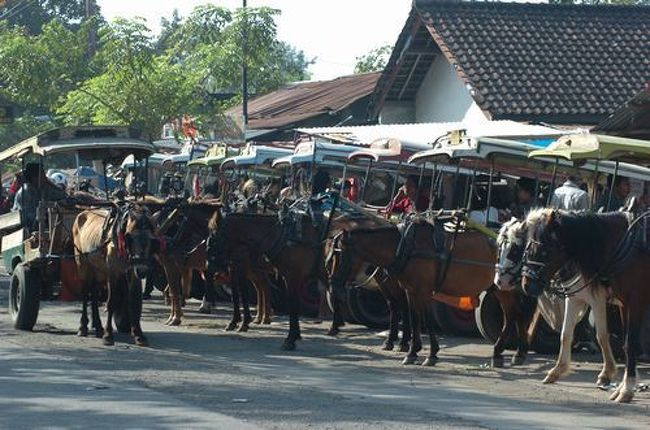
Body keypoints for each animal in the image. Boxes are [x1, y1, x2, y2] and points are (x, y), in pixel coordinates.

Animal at [72, 204, 158, 346]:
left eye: (152, 240)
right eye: (129, 237)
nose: (142, 270)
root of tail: (84, 212)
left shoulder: (132, 273)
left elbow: (134, 302)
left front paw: (139, 335)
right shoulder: (112, 272)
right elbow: (111, 301)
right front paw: (108, 335)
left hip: (98, 269)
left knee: (94, 293)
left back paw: (98, 327)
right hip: (82, 263)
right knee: (85, 293)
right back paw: (83, 327)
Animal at [494, 217, 616, 388]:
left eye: (515, 250)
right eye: (500, 247)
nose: (500, 281)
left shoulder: (596, 299)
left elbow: (601, 335)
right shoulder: (574, 298)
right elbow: (565, 333)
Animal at [520, 208, 648, 404]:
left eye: (544, 251)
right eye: (528, 248)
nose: (526, 285)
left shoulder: (627, 301)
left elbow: (619, 340)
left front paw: (625, 387)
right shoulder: (609, 302)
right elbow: (566, 334)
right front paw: (558, 370)